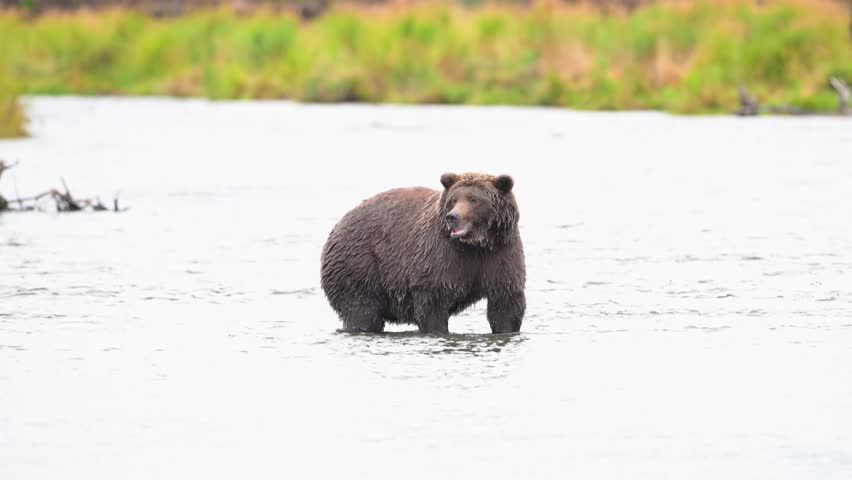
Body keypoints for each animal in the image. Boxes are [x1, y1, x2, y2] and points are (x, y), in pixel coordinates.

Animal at [320, 172, 525, 334]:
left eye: (474, 199)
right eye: (454, 199)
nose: (453, 217)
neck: (476, 245)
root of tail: (337, 226)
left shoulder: (500, 254)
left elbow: (505, 303)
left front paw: (506, 329)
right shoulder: (443, 256)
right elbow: (433, 303)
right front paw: (437, 330)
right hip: (358, 266)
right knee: (362, 311)